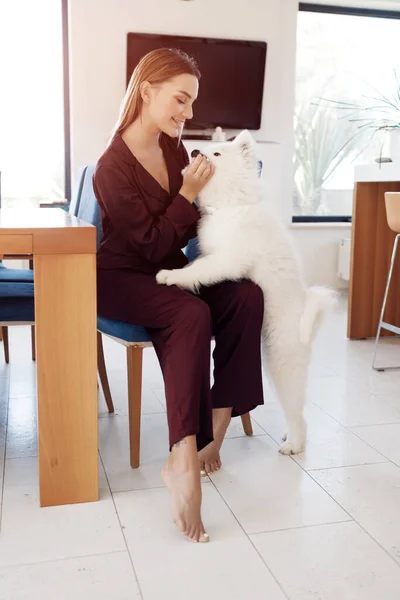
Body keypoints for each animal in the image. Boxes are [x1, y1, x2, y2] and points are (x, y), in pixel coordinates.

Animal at [155, 130, 336, 450]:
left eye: (216, 154)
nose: (195, 152)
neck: (231, 204)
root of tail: (307, 311)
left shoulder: (228, 258)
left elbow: (197, 270)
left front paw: (170, 276)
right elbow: (198, 263)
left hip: (282, 362)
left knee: (297, 412)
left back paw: (293, 445)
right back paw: (289, 437)